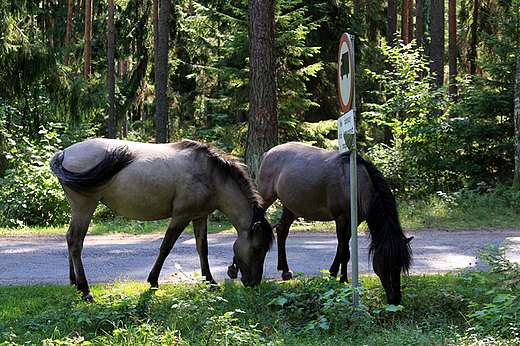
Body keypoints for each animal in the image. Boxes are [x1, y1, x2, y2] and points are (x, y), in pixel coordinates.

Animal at [50, 138, 274, 300]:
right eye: (256, 249)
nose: (254, 283)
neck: (210, 175)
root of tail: (64, 153)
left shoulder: (200, 217)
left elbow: (202, 249)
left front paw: (210, 281)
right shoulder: (181, 216)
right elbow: (166, 246)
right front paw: (153, 281)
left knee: (70, 238)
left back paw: (74, 281)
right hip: (84, 207)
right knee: (76, 241)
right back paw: (85, 290)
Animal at [250, 142, 412, 304]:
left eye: (401, 264)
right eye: (384, 263)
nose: (395, 299)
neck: (353, 182)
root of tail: (270, 152)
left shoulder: (353, 222)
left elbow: (341, 247)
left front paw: (333, 273)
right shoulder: (341, 219)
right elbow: (344, 252)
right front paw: (343, 280)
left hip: (290, 206)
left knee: (282, 230)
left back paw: (285, 270)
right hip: (266, 197)